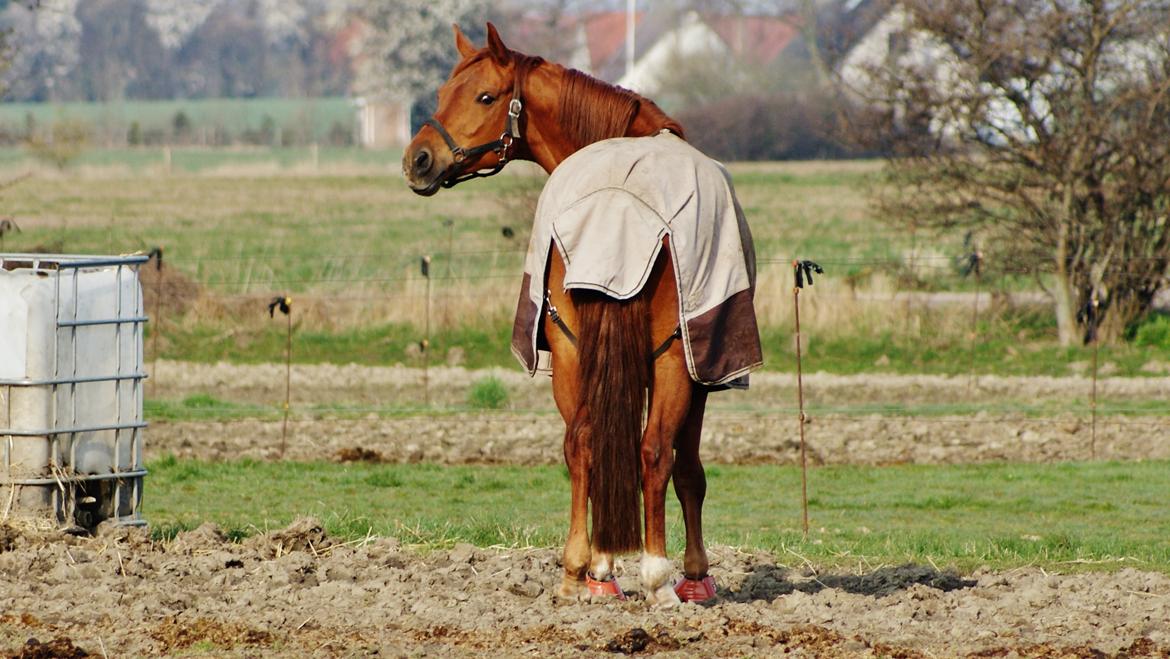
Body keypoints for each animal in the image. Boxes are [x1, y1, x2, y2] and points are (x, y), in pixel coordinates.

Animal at [407, 24, 739, 603]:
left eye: (484, 97)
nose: (418, 159)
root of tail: (622, 206)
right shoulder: (697, 365)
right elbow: (687, 471)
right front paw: (695, 575)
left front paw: (601, 568)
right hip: (670, 356)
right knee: (653, 452)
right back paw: (656, 574)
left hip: (572, 346)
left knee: (583, 443)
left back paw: (585, 570)